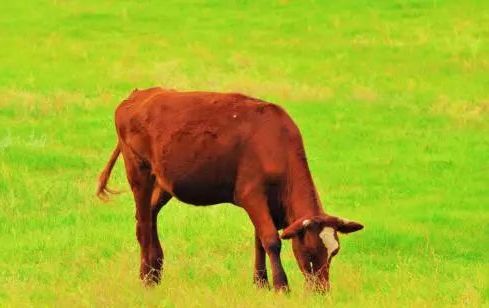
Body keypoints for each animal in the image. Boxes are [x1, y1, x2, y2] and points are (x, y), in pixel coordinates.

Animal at [96, 86, 362, 292]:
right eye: (309, 251)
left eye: (334, 252)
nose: (322, 291)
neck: (274, 144)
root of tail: (140, 94)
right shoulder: (251, 195)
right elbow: (270, 240)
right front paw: (281, 286)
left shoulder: (268, 202)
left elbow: (259, 240)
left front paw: (260, 283)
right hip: (138, 171)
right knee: (142, 222)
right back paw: (145, 277)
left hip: (164, 182)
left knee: (149, 216)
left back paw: (155, 270)